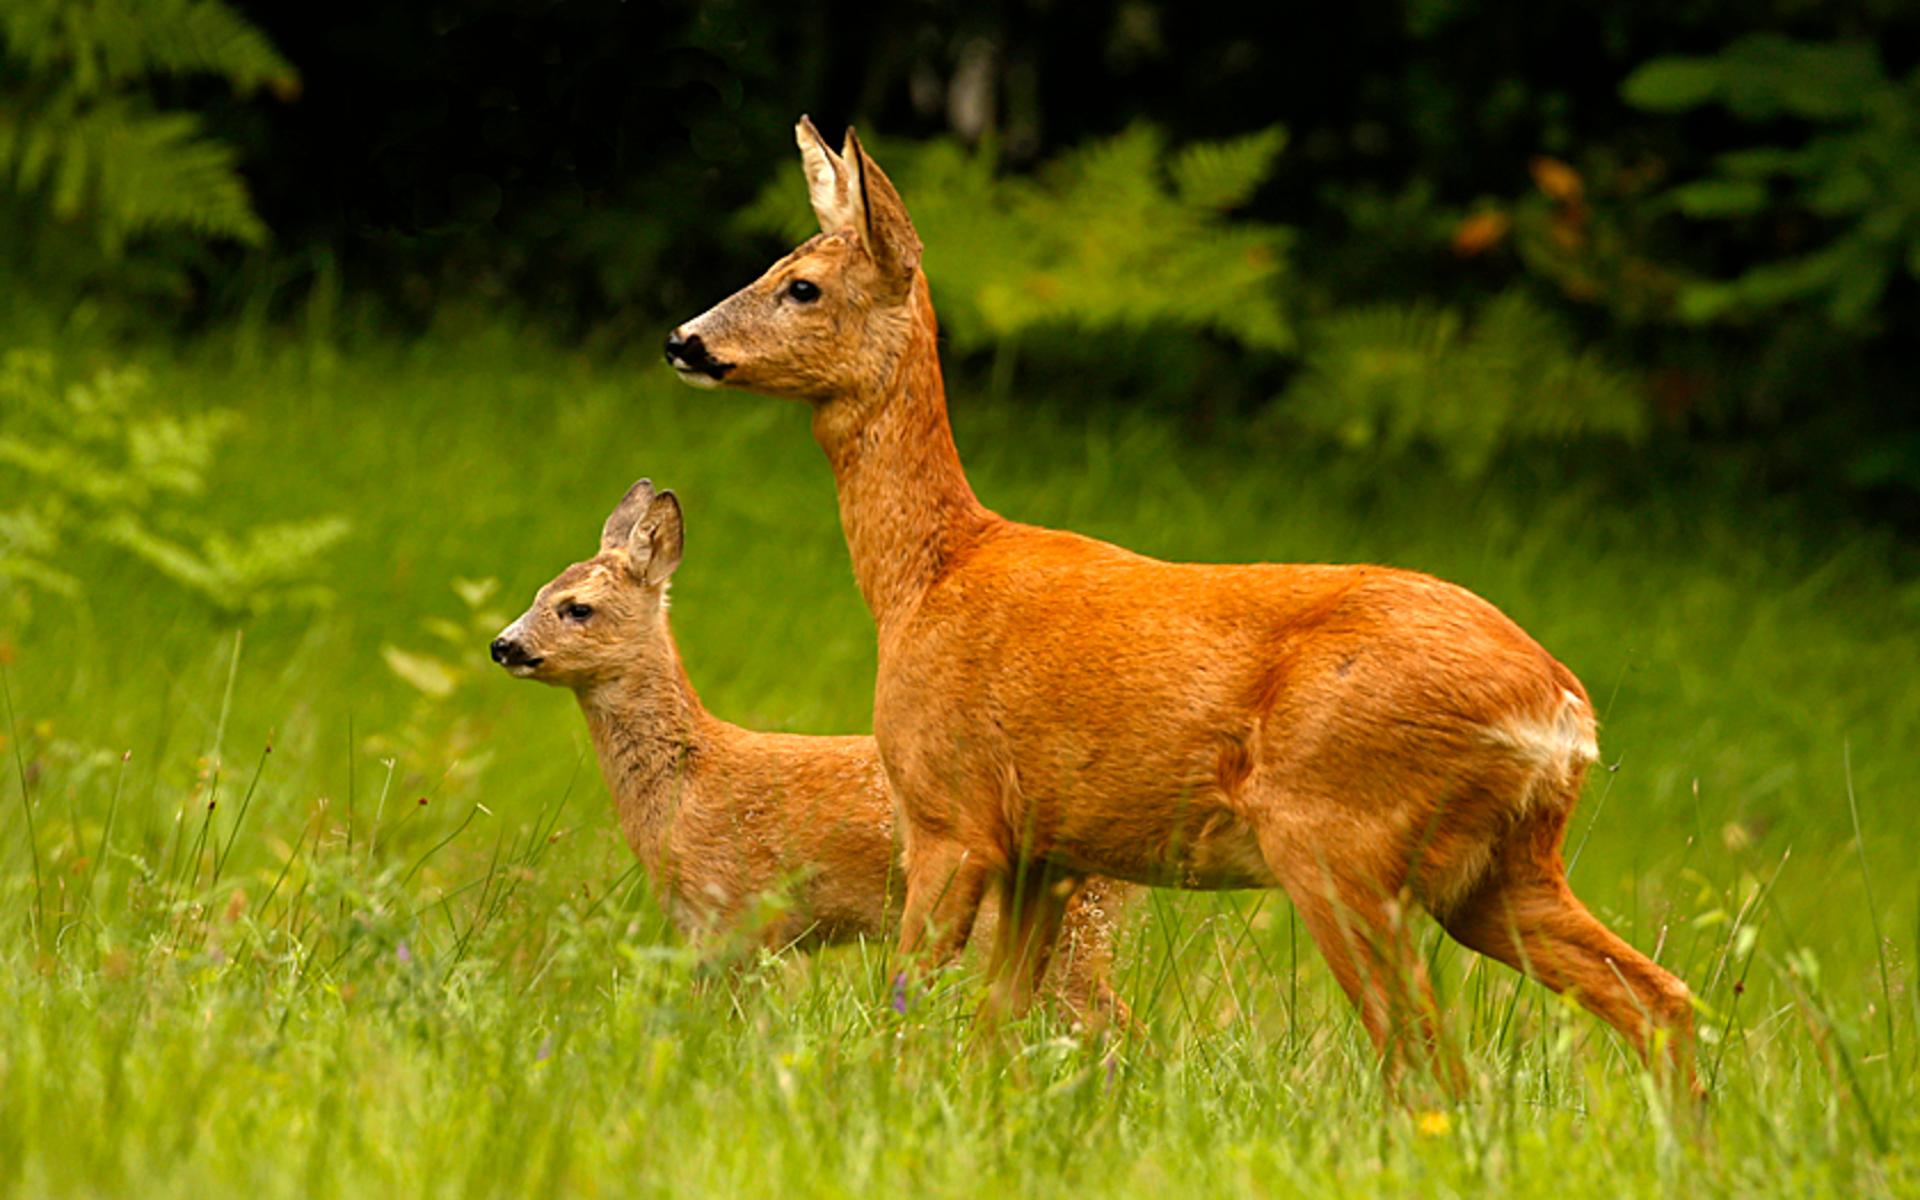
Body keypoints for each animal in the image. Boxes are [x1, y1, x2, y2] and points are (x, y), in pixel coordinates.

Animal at [664, 119, 1697, 1082]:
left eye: (803, 286)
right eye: (772, 265)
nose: (684, 339)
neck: (925, 578)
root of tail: (1561, 711)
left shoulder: (951, 813)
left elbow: (908, 1000)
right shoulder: (1049, 846)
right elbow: (998, 1026)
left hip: (1340, 838)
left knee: (1428, 1061)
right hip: (1504, 867)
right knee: (1661, 1001)